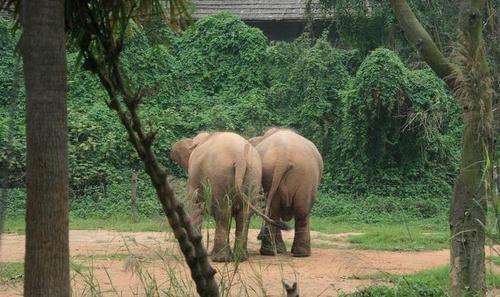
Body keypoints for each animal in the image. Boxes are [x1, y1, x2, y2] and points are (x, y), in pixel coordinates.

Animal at [171, 131, 290, 260]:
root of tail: (240, 158)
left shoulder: (194, 178)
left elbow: (196, 205)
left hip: (220, 174)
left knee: (223, 211)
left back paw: (220, 259)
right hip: (253, 174)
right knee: (243, 214)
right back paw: (240, 257)